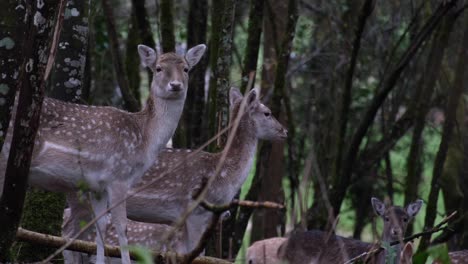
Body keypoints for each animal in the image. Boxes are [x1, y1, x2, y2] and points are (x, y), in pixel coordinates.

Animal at [0, 43, 207, 264]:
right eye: (158, 68)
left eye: (186, 69)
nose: (175, 85)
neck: (145, 140)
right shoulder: (119, 177)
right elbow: (122, 228)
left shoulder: (97, 187)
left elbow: (100, 227)